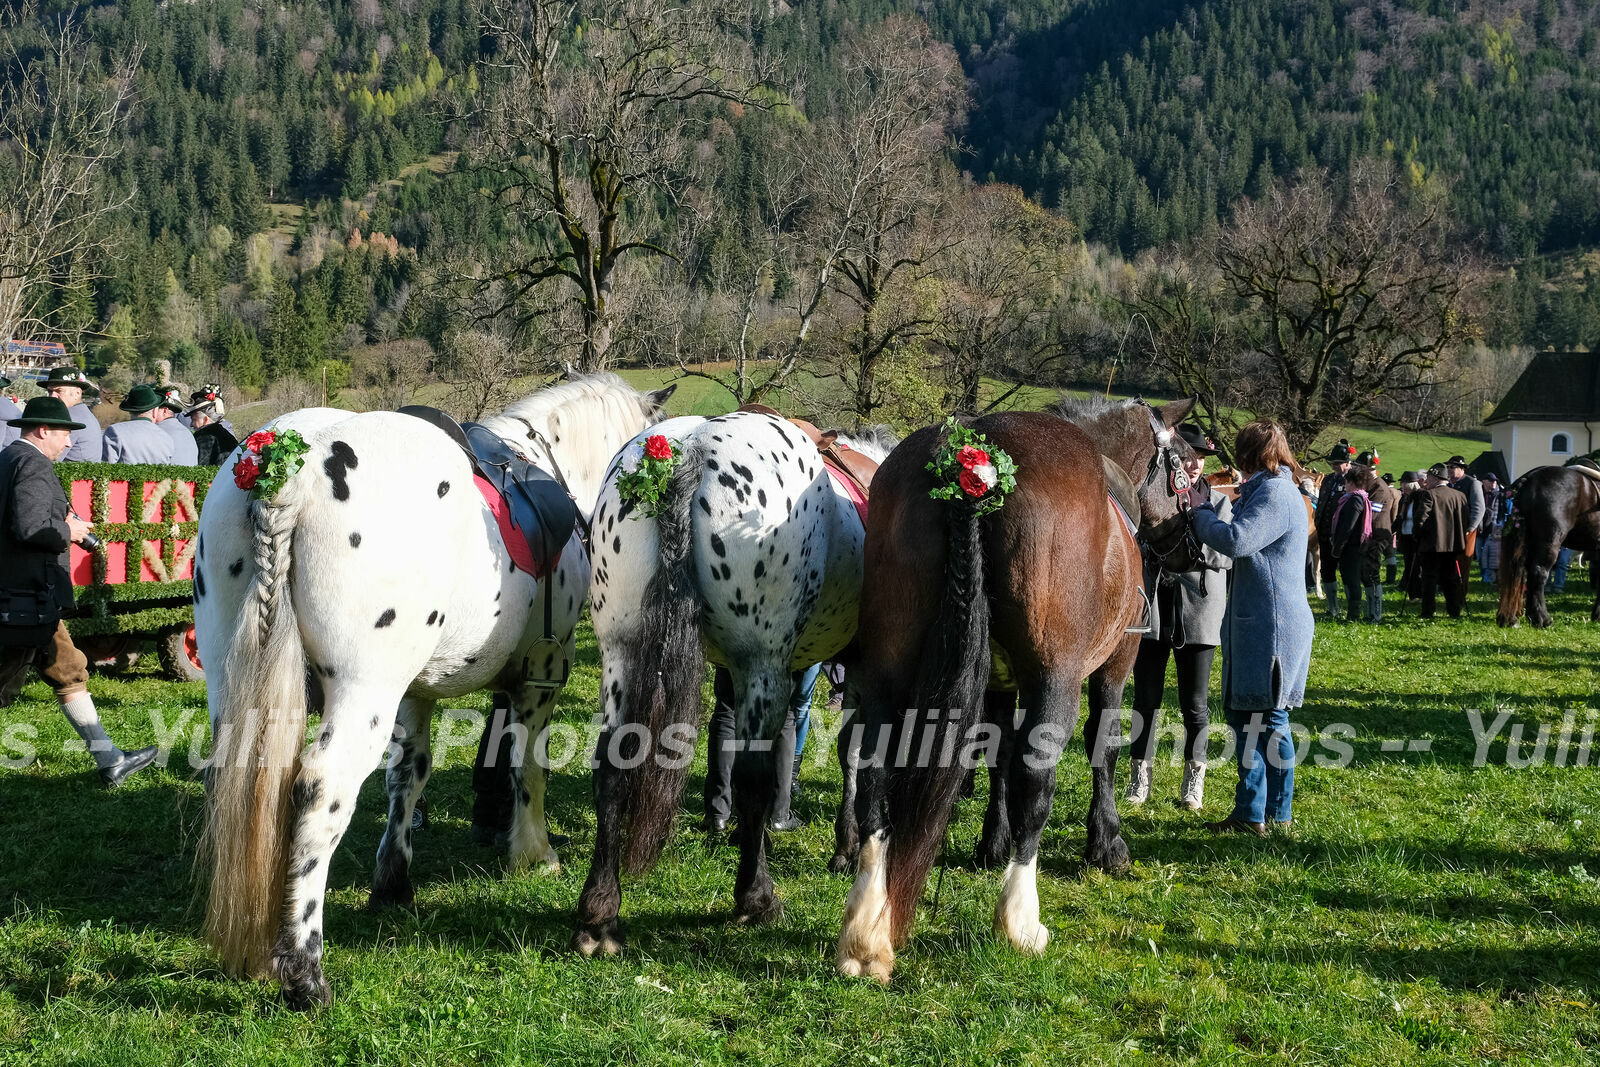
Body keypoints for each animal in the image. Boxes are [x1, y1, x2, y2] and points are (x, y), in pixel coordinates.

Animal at [196, 374, 672, 1011]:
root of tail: (288, 465)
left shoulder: (414, 694)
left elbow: (409, 777)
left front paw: (393, 881)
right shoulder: (543, 674)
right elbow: (529, 766)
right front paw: (533, 852)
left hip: (232, 682)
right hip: (362, 691)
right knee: (322, 791)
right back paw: (304, 969)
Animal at [572, 412, 902, 953]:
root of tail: (688, 450)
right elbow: (853, 754)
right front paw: (847, 845)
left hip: (620, 654)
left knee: (613, 768)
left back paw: (599, 913)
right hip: (760, 663)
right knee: (752, 777)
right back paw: (756, 896)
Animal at [838, 398, 1203, 985]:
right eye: (1188, 469)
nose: (1194, 548)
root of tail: (973, 456)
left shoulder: (997, 682)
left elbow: (999, 755)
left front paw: (992, 840)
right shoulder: (1113, 666)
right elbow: (1099, 749)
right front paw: (1106, 842)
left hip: (886, 668)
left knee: (872, 772)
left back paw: (866, 929)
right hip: (1056, 677)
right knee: (1038, 780)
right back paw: (1019, 918)